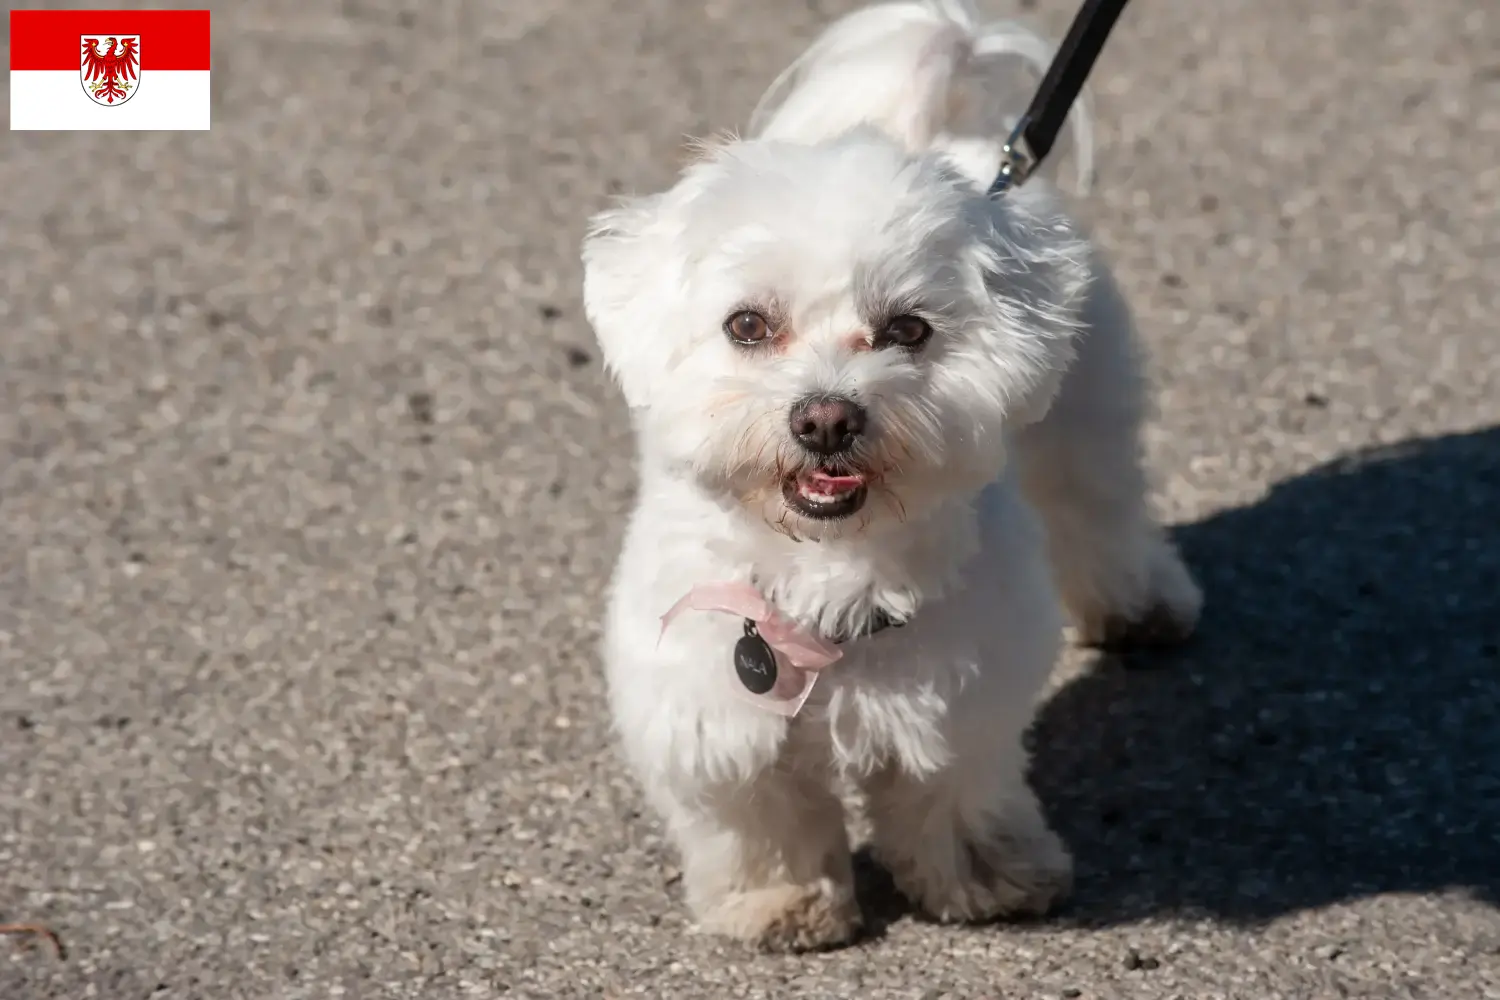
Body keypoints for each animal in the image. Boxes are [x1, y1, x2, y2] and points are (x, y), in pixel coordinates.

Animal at [579, 0, 1200, 953]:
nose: (827, 418)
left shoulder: (962, 696)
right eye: (748, 324)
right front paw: (780, 901)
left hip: (1086, 408)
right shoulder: (709, 707)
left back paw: (1140, 601)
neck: (824, 569)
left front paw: (988, 876)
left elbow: (954, 788)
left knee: (1099, 504)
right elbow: (757, 813)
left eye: (908, 329)